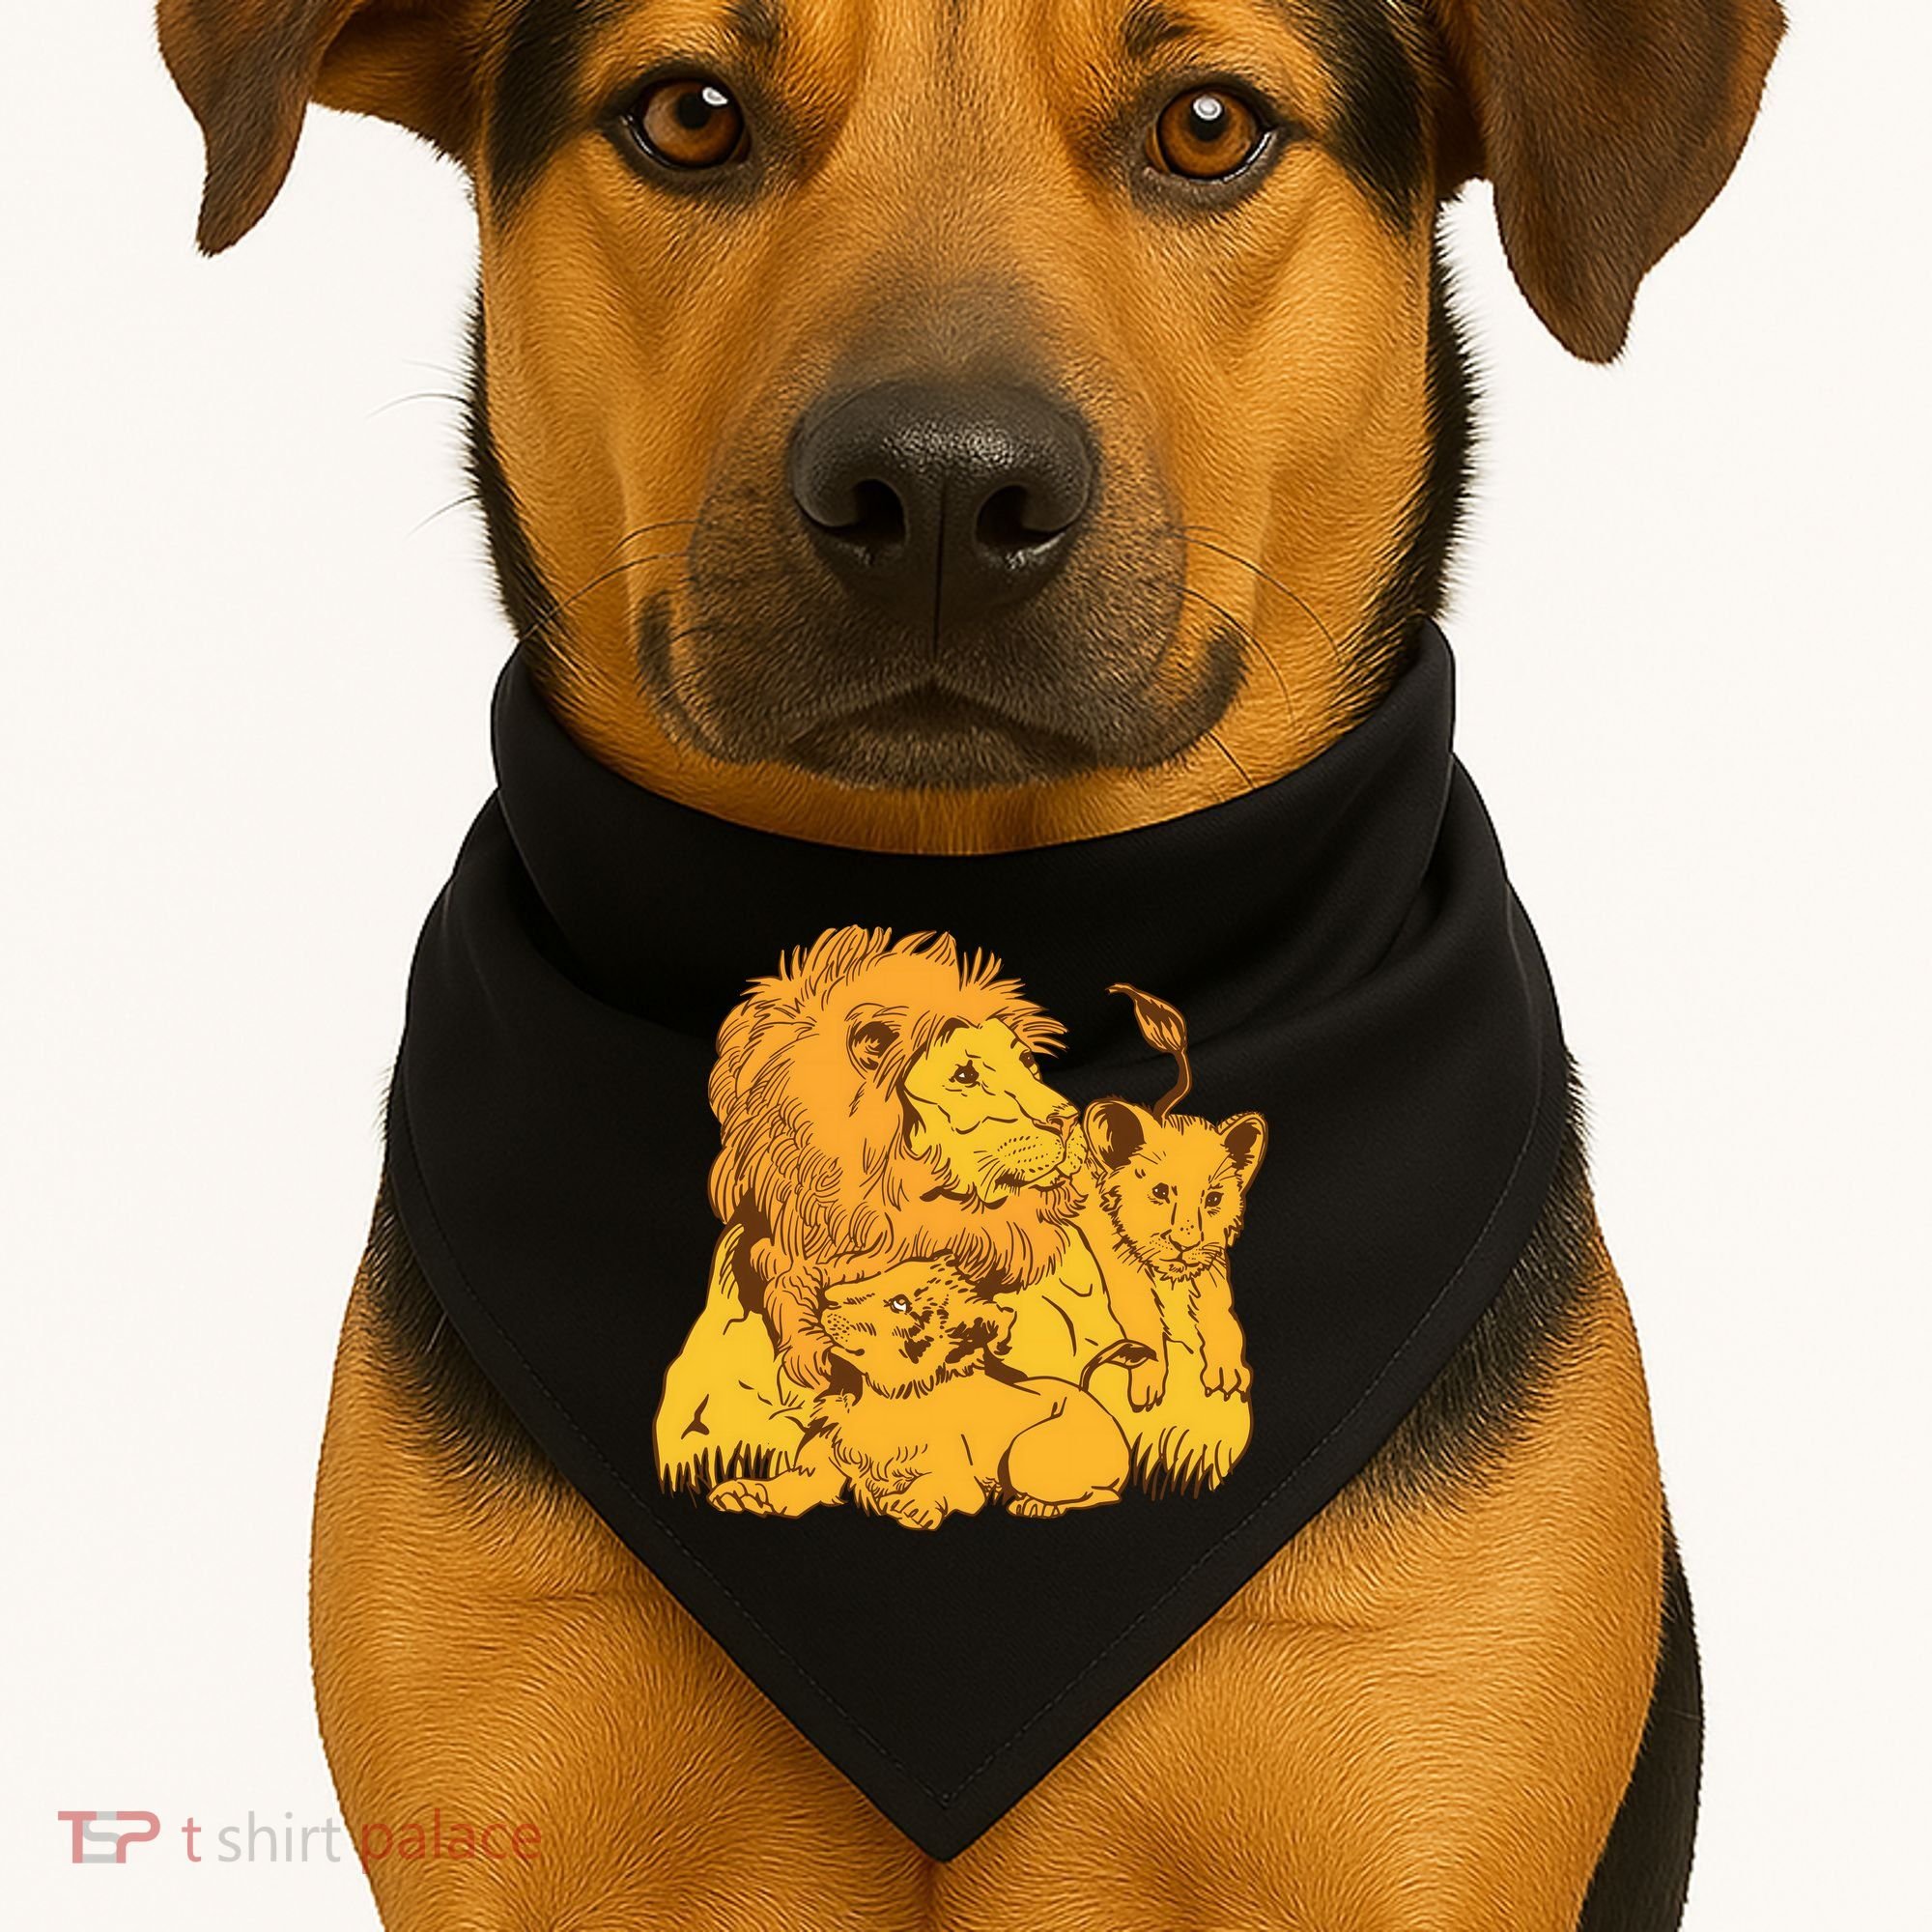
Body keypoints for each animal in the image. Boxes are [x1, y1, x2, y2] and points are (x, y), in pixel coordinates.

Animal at [708, 1265, 1135, 1529]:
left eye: (901, 1302)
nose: (826, 1296)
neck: (880, 1401)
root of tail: (1088, 1394)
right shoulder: (818, 1470)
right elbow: (782, 1487)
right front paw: (743, 1493)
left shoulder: (963, 1482)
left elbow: (936, 1486)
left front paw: (911, 1504)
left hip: (1026, 1453)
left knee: (1104, 1494)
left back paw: (1037, 1505)